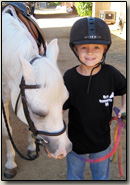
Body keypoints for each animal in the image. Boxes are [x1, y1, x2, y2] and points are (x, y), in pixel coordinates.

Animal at [1, 8, 72, 178]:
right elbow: (6, 132)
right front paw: (10, 163)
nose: (63, 150)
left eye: (63, 104)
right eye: (38, 113)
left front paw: (32, 147)